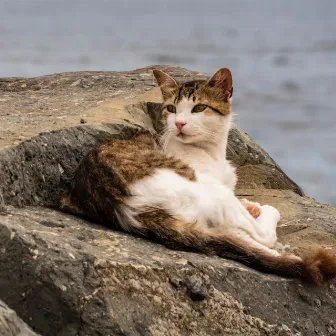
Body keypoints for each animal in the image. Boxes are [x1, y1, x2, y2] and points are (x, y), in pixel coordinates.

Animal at [61, 67, 336, 284]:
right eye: (172, 108)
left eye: (199, 108)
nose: (179, 123)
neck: (210, 152)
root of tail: (128, 208)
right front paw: (255, 209)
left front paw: (250, 205)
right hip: (210, 191)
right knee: (261, 237)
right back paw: (269, 219)